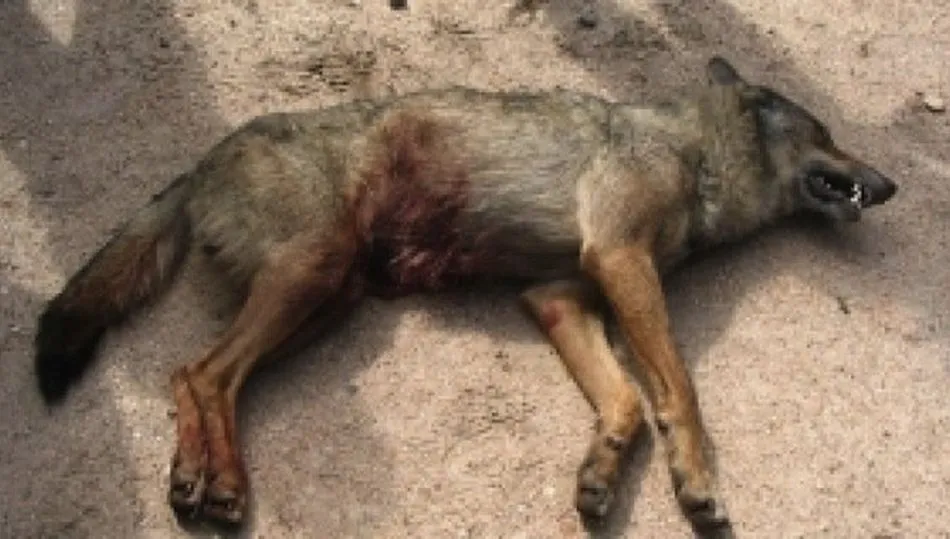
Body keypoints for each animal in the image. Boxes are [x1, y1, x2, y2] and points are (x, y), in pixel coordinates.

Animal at [34, 57, 897, 535]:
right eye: (830, 136)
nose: (891, 185)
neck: (692, 149)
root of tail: (203, 161)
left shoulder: (561, 297)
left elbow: (623, 400)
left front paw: (601, 473)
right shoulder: (622, 262)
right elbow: (679, 391)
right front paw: (697, 483)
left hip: (326, 300)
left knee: (205, 377)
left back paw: (202, 479)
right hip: (312, 276)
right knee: (202, 372)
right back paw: (221, 486)